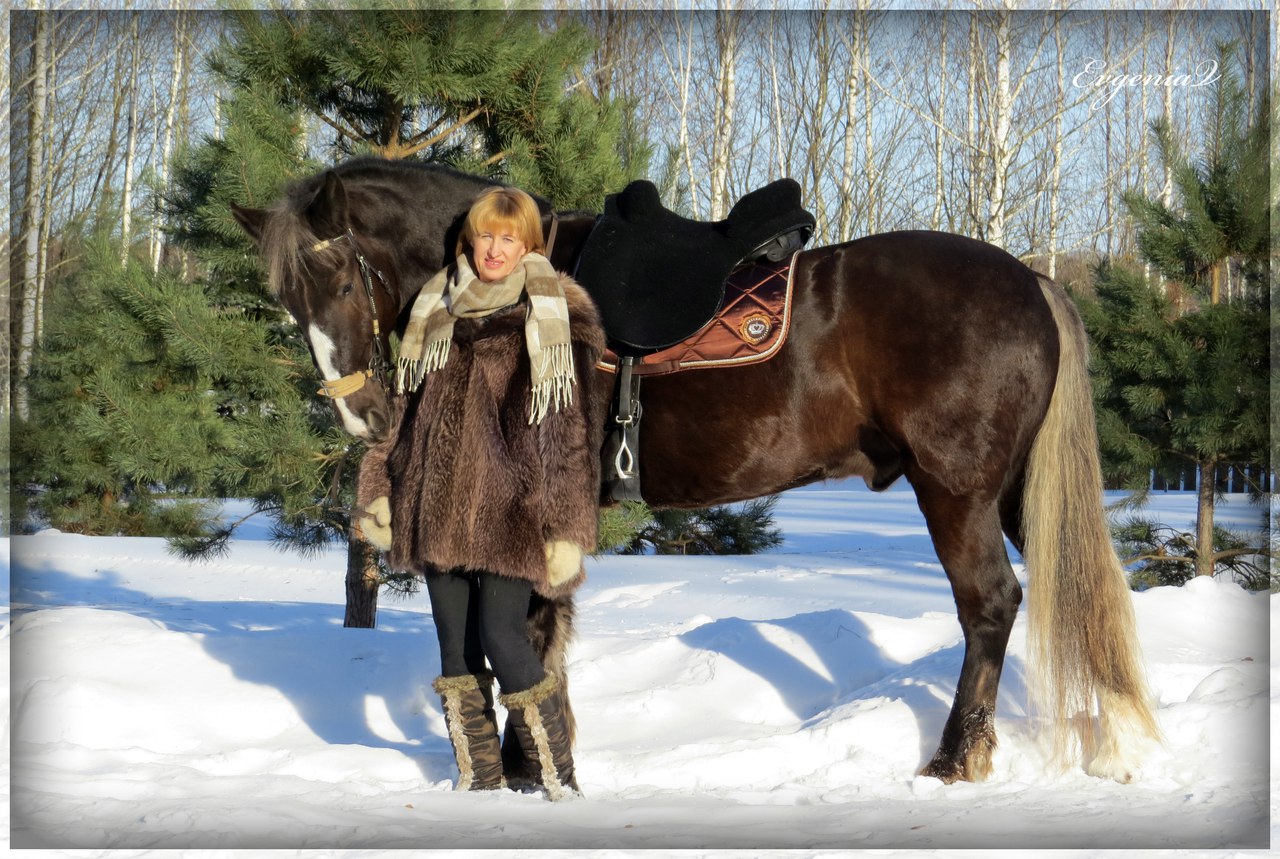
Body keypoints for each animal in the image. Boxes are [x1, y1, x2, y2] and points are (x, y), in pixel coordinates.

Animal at [232, 156, 1160, 785]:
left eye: (340, 276)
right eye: (287, 299)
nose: (360, 413)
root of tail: (1033, 281)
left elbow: (526, 630)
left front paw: (528, 767)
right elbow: (540, 633)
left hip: (957, 491)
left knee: (990, 606)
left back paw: (955, 757)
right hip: (1011, 493)